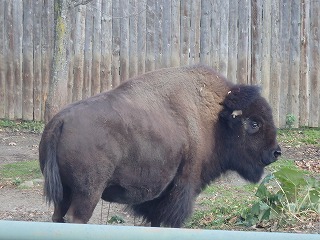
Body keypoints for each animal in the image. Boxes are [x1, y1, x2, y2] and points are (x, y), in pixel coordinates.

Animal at [39, 65, 280, 227]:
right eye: (254, 123)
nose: (276, 152)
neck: (214, 119)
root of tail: (60, 120)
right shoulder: (183, 187)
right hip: (88, 192)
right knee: (76, 218)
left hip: (65, 192)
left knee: (58, 217)